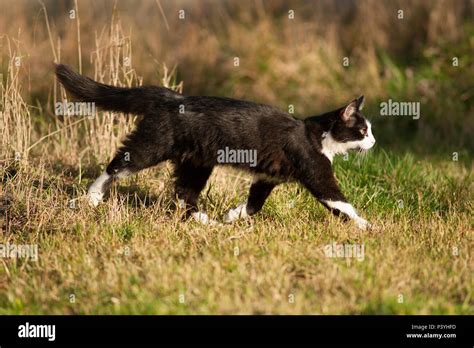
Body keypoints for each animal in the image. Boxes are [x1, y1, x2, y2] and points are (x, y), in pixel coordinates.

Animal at [55, 64, 376, 230]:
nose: (373, 141)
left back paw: (204, 221)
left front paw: (232, 216)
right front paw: (368, 226)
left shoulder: (266, 177)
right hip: (153, 144)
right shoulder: (317, 173)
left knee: (184, 192)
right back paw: (91, 198)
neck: (317, 136)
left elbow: (254, 204)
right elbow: (340, 203)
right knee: (117, 165)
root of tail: (172, 96)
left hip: (197, 162)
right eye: (363, 130)